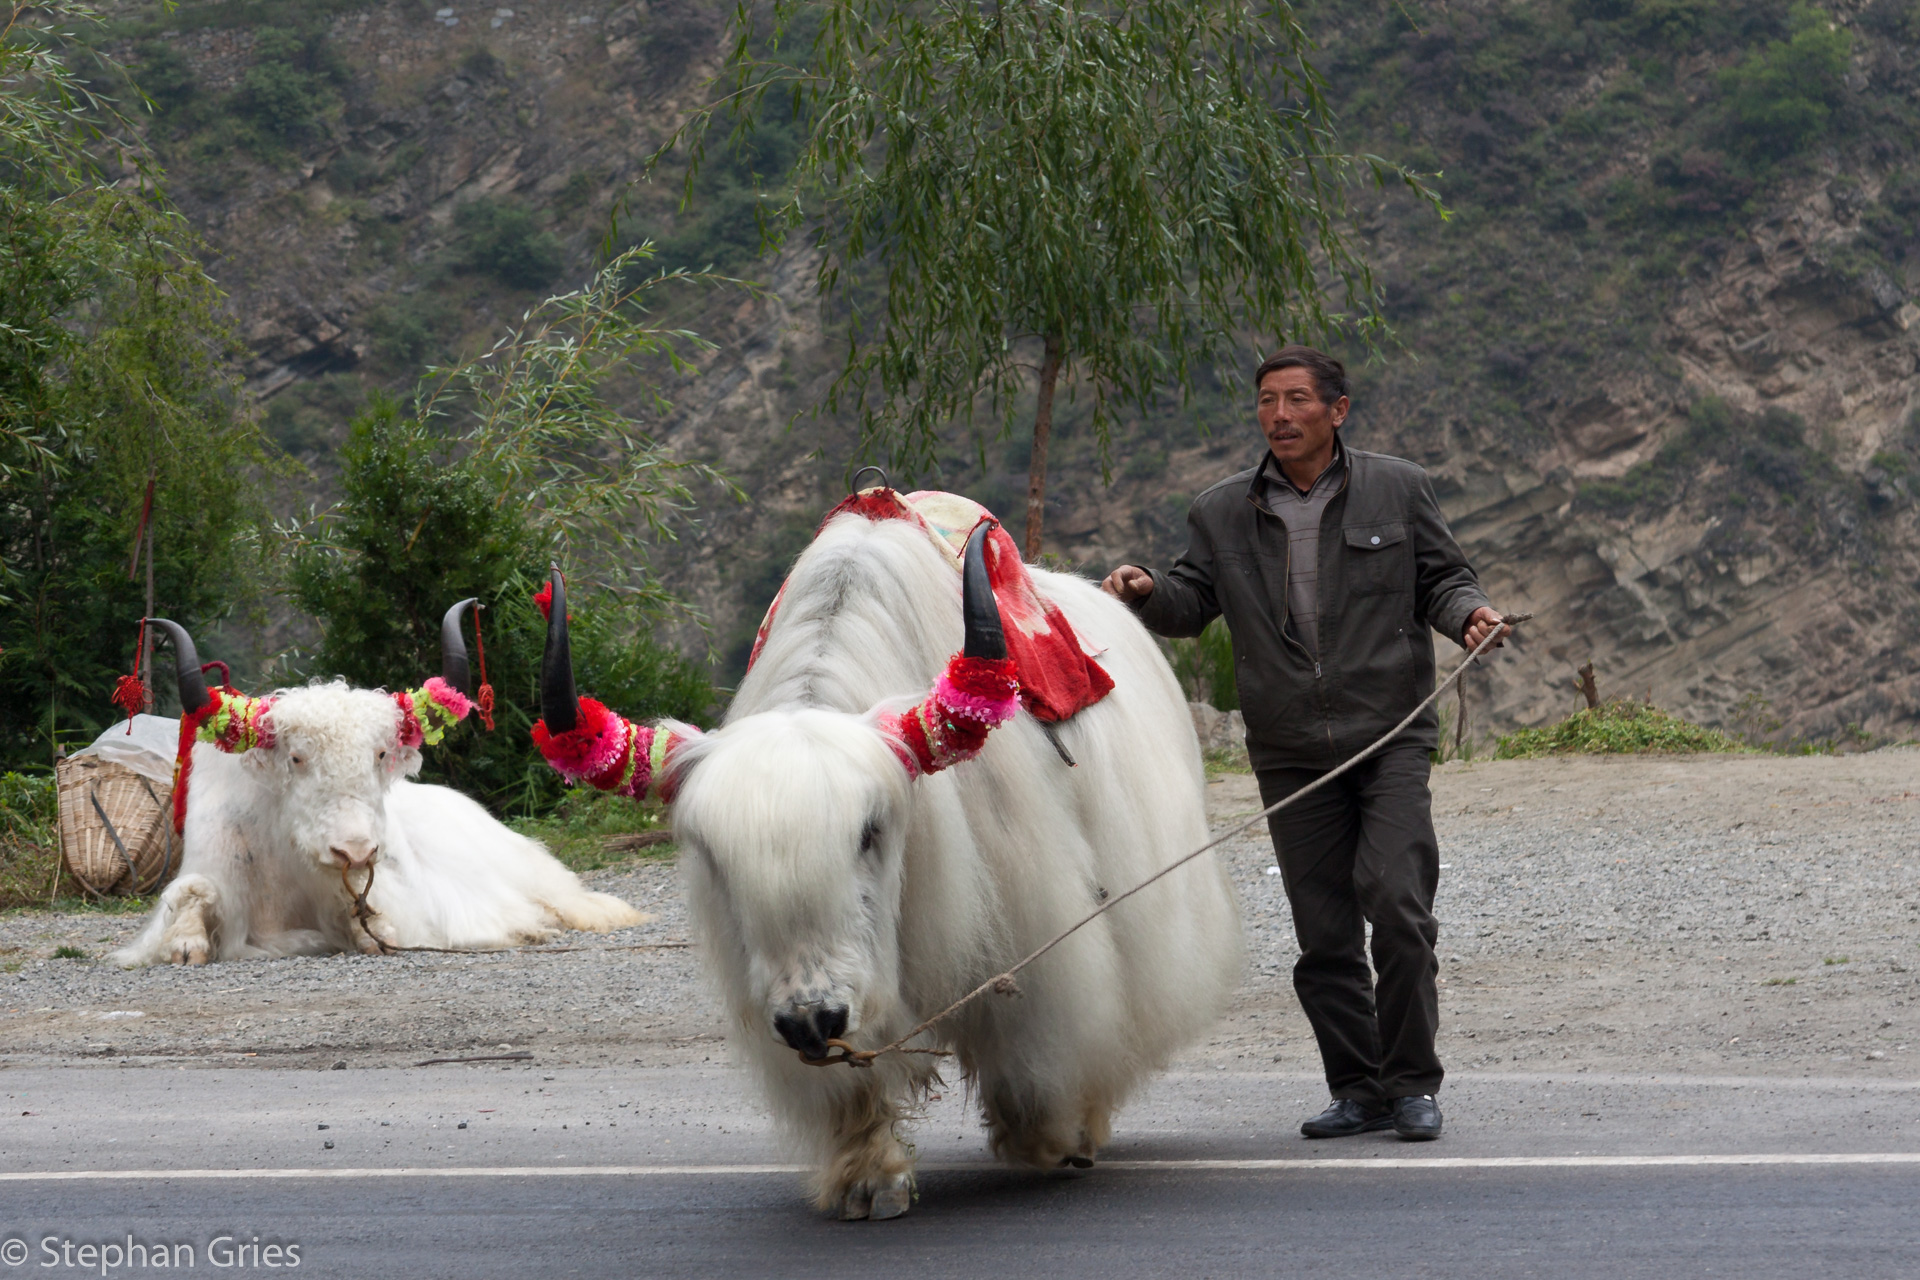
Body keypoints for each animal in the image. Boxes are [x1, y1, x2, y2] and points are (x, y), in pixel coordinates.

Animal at [110, 604, 644, 967]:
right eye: (297, 757)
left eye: (381, 754)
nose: (356, 852)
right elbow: (191, 894)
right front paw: (186, 942)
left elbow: (374, 920)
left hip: (534, 877)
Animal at [531, 510, 1244, 1219]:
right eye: (712, 854)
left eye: (870, 832)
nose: (811, 1024)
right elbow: (856, 1085)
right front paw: (868, 1181)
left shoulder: (1036, 936)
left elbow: (1033, 1049)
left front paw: (1049, 1141)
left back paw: (1086, 1127)